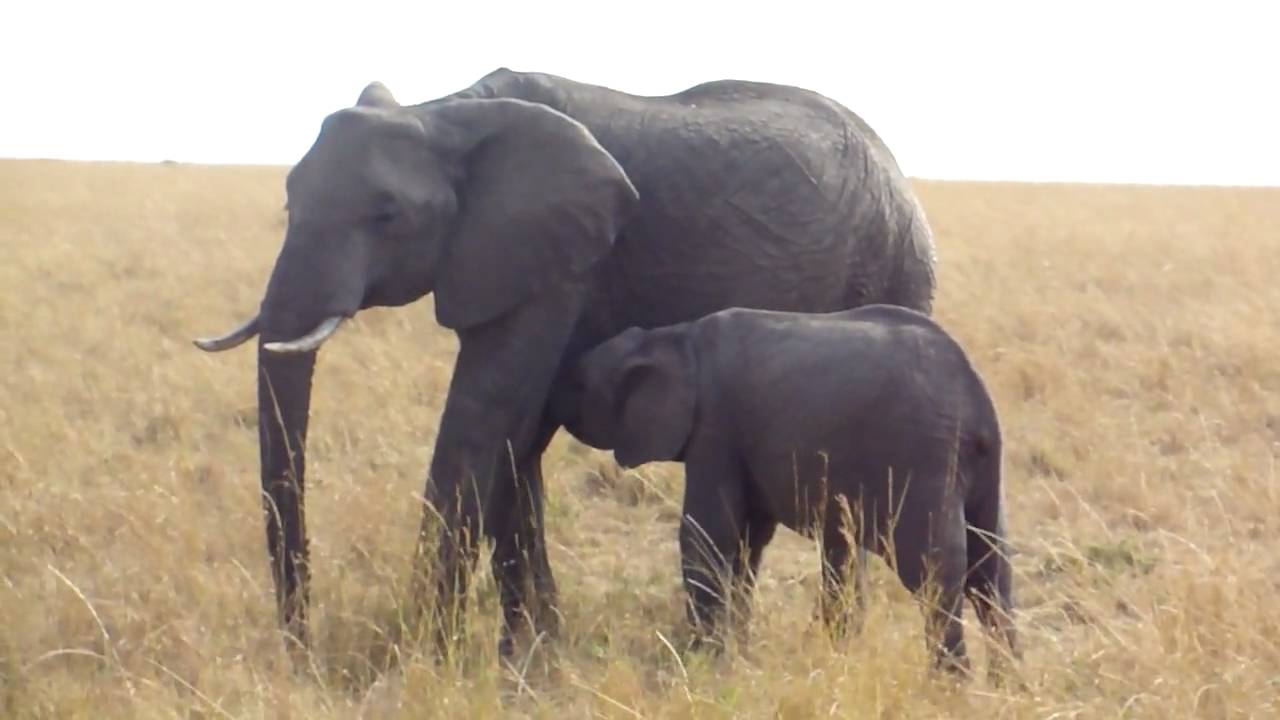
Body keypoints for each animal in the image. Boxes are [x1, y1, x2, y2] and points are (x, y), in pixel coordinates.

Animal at [192, 67, 938, 656]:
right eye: (288, 199)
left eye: (387, 216)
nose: (298, 649)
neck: (443, 113)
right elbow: (516, 431)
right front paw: (529, 652)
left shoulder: (560, 252)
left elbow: (485, 411)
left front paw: (421, 655)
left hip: (895, 265)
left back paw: (830, 647)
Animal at [560, 304, 1018, 677]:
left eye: (579, 384)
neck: (670, 338)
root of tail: (975, 396)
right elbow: (750, 539)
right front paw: (737, 649)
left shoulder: (715, 426)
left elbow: (708, 533)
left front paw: (700, 659)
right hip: (983, 468)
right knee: (991, 572)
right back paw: (1007, 684)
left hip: (921, 456)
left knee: (934, 573)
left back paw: (951, 685)